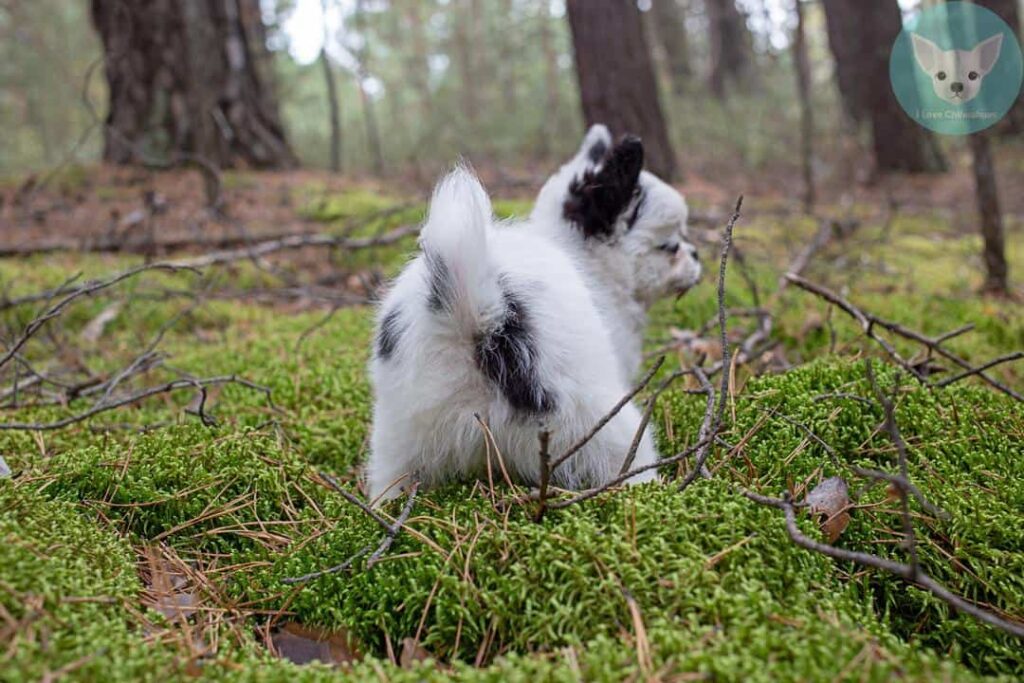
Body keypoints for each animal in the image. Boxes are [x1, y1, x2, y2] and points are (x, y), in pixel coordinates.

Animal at [364, 126, 700, 501]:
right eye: (669, 246)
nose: (696, 255)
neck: (588, 262)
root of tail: (481, 314)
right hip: (593, 415)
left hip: (401, 432)